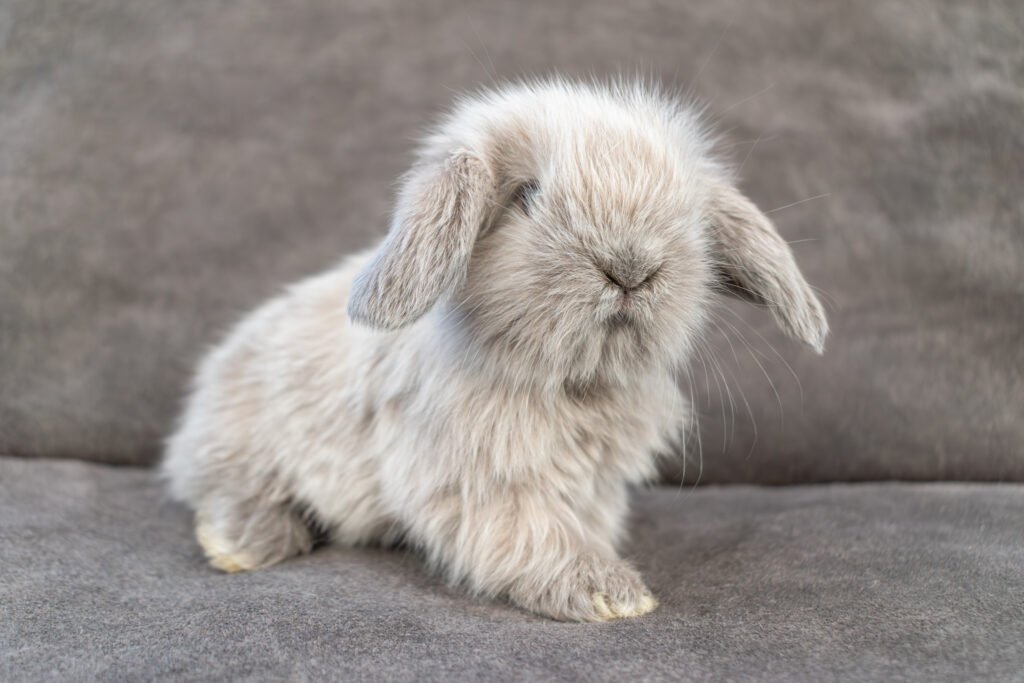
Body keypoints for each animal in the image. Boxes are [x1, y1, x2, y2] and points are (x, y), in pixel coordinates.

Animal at [163, 78, 827, 622]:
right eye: (526, 196)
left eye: (686, 208)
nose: (631, 268)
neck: (569, 382)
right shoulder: (480, 483)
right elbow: (529, 536)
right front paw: (609, 593)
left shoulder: (594, 486)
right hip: (247, 440)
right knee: (233, 488)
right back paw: (238, 544)